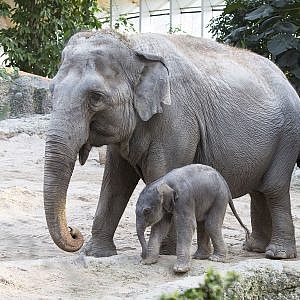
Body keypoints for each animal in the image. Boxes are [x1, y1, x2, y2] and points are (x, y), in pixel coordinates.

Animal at [44, 31, 300, 260]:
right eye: (51, 91)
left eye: (95, 97)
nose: (74, 232)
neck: (133, 44)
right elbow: (115, 183)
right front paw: (97, 254)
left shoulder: (176, 119)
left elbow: (162, 174)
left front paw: (165, 252)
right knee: (259, 190)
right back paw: (254, 248)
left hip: (288, 137)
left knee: (273, 188)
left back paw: (277, 254)